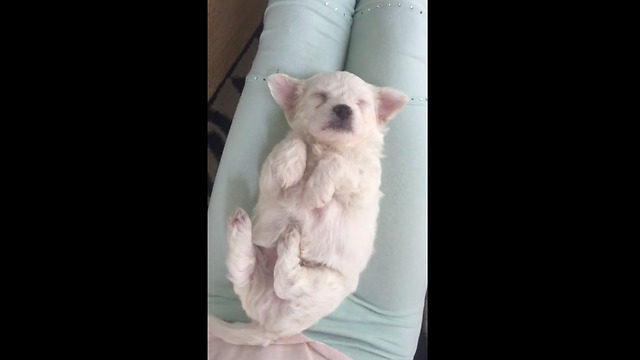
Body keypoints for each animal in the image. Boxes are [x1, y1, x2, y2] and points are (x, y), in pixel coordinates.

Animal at [210, 71, 410, 346]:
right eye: (320, 96)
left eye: (360, 103)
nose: (343, 108)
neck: (326, 146)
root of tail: (270, 326)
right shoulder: (270, 178)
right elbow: (294, 142)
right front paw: (291, 166)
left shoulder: (364, 181)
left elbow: (337, 162)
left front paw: (315, 192)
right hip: (263, 265)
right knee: (244, 271)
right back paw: (241, 227)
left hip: (325, 283)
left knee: (287, 280)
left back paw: (287, 241)